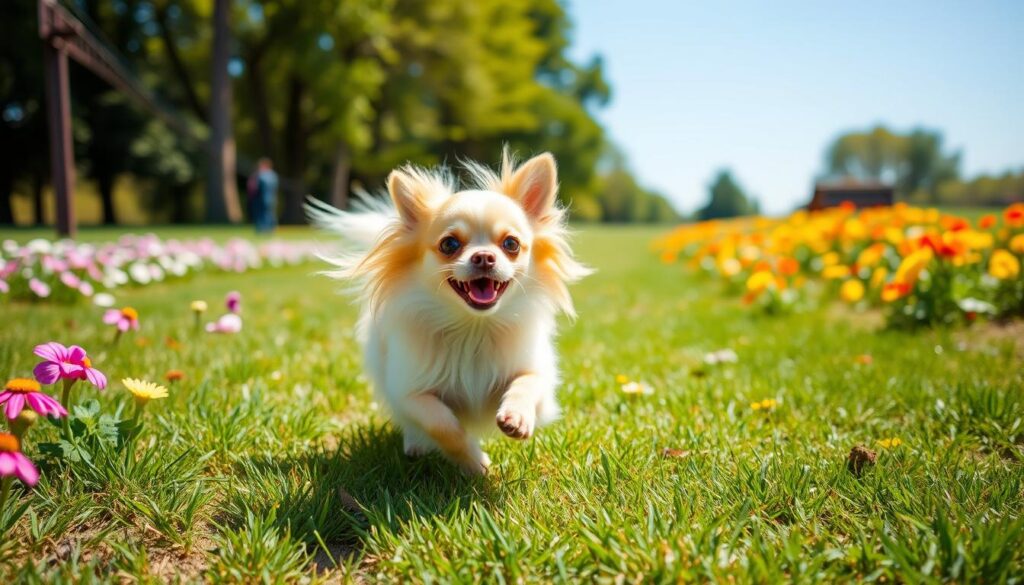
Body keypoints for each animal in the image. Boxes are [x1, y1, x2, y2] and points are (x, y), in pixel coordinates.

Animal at [307, 152, 589, 475]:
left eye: (511, 244)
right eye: (449, 244)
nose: (484, 256)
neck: (473, 328)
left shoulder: (537, 376)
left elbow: (526, 384)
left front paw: (516, 417)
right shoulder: (408, 393)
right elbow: (443, 426)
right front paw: (474, 461)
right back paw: (415, 444)